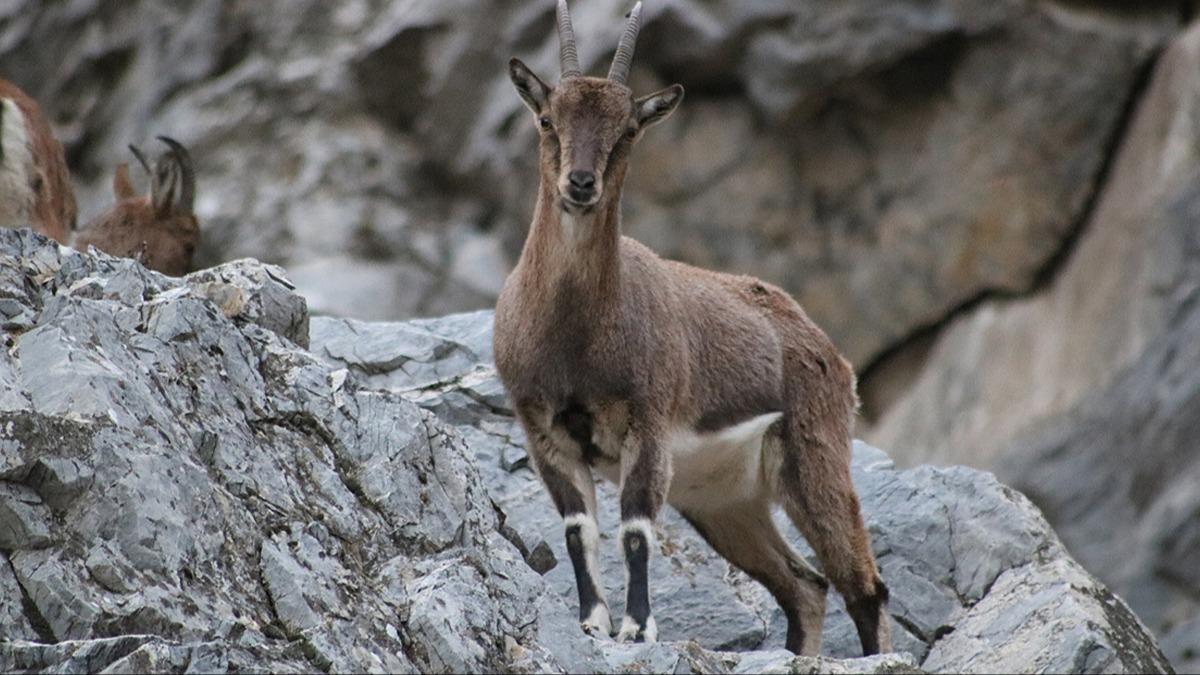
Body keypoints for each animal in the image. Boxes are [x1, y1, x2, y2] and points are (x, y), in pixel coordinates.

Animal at [487, 0, 892, 653]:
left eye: (628, 130)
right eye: (547, 120)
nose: (581, 183)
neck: (575, 336)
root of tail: (826, 349)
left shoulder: (648, 425)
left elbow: (635, 530)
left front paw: (636, 627)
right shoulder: (544, 430)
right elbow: (578, 530)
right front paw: (592, 621)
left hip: (815, 456)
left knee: (864, 586)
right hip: (726, 502)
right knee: (804, 586)